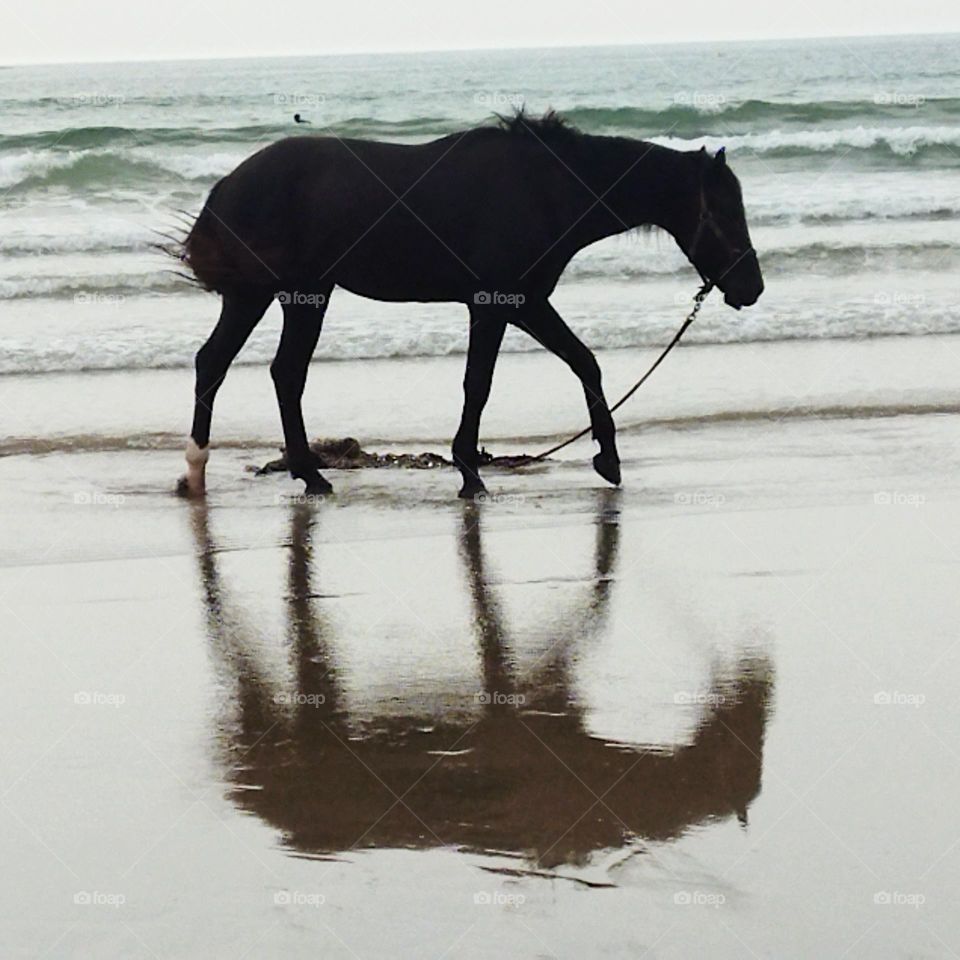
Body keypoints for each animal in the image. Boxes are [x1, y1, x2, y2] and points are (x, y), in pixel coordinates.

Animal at [180, 111, 764, 498]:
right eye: (725, 211)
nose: (751, 288)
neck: (545, 189)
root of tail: (226, 187)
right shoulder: (496, 303)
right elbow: (479, 384)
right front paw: (469, 473)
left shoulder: (526, 304)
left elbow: (584, 363)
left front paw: (608, 460)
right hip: (283, 295)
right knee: (256, 369)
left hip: (286, 296)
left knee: (247, 368)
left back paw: (251, 472)